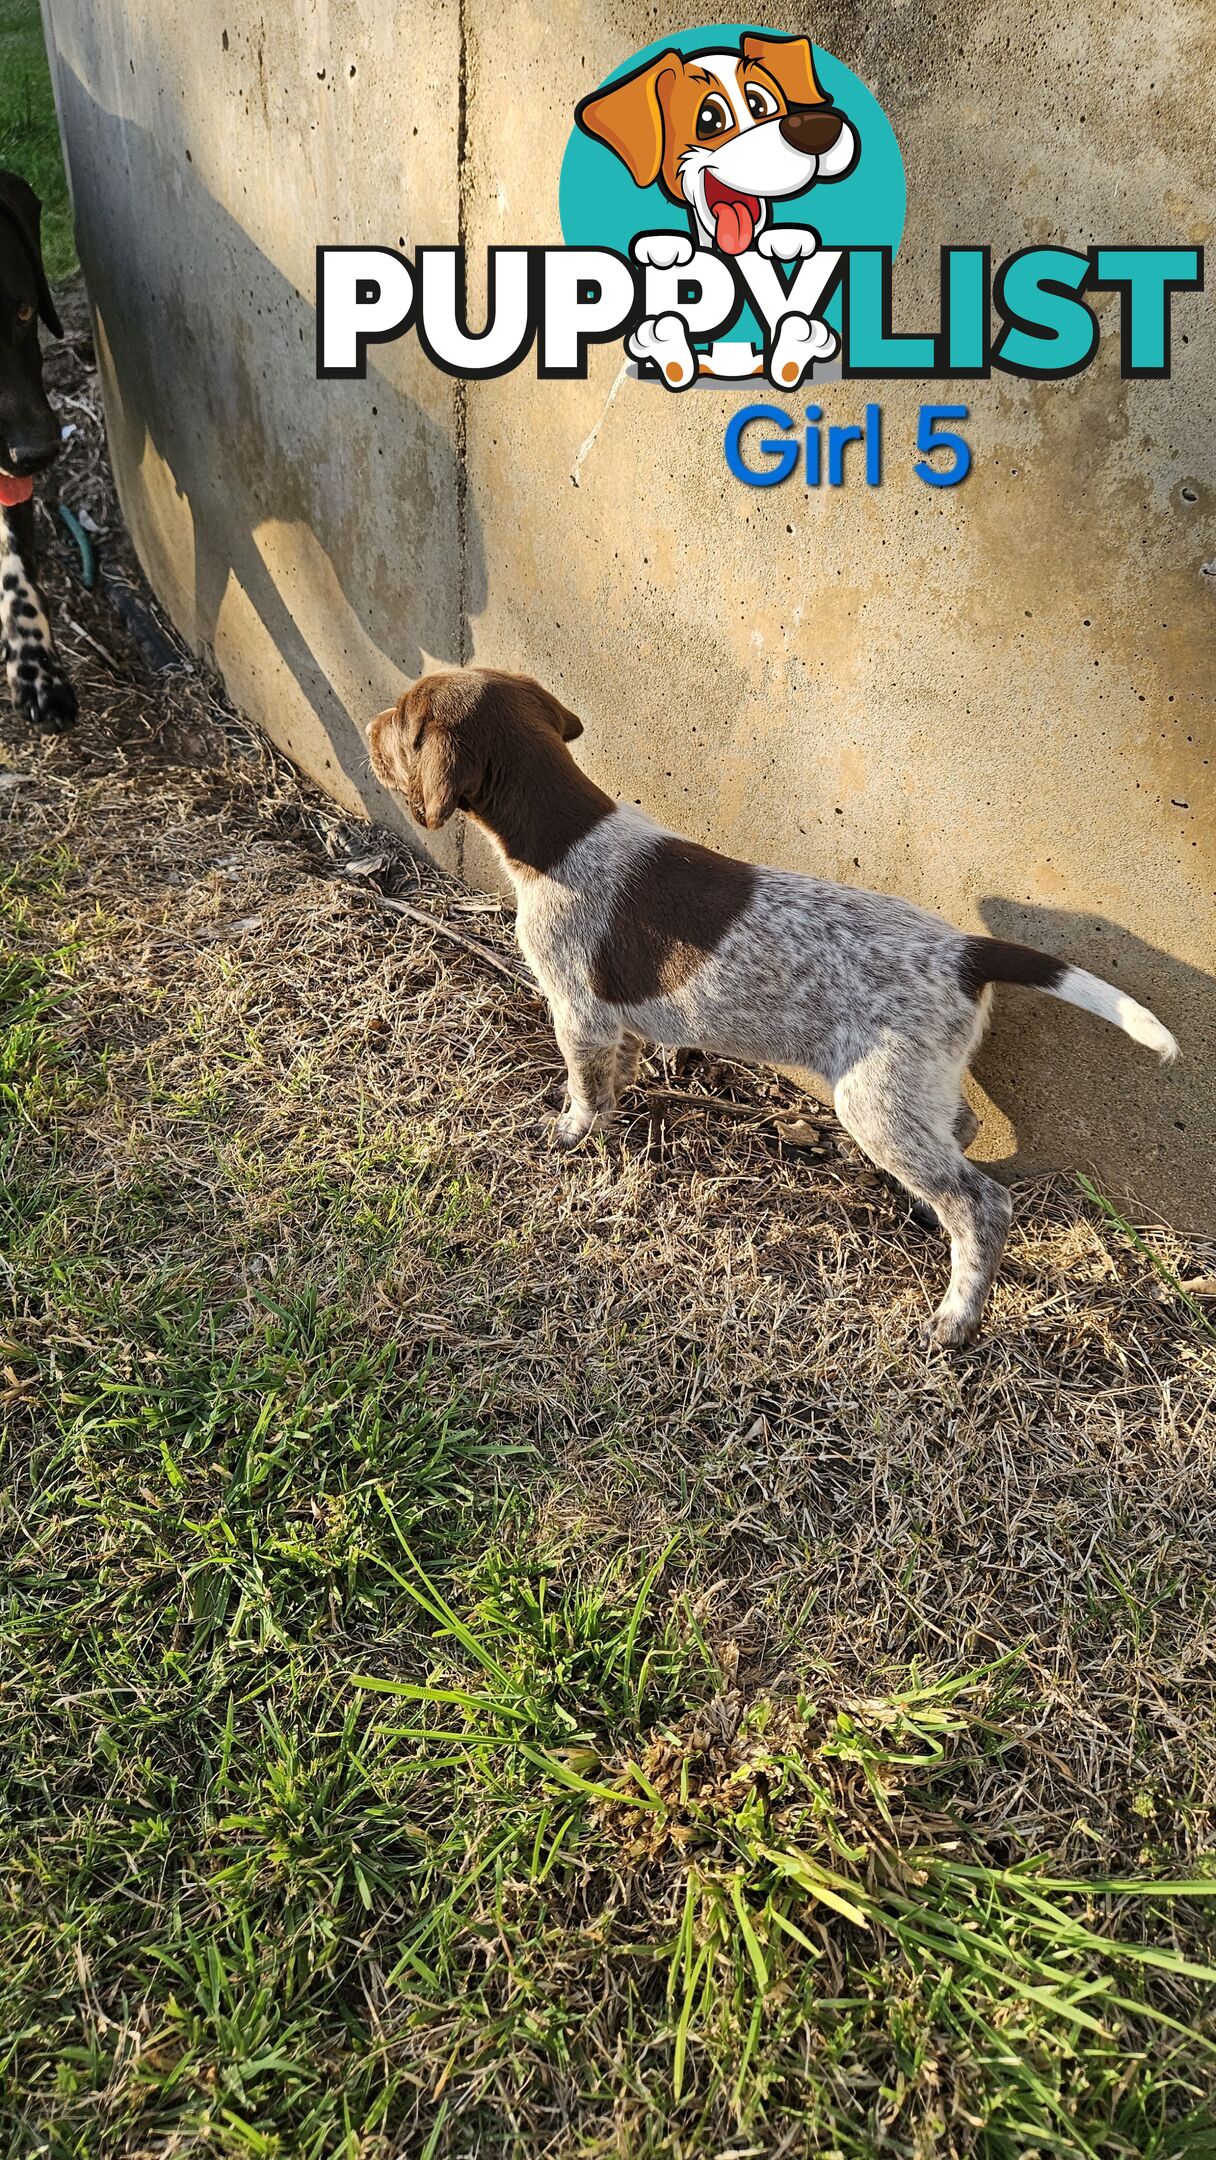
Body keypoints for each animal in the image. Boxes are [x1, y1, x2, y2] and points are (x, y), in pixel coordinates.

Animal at [369, 669, 1183, 1347]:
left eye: (403, 725)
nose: (371, 723)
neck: (566, 831)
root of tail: (965, 951)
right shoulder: (615, 1019)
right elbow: (619, 1071)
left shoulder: (578, 1010)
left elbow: (585, 1090)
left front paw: (571, 1133)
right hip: (915, 1081)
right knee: (962, 1135)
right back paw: (927, 1210)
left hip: (873, 1100)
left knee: (983, 1203)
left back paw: (958, 1315)